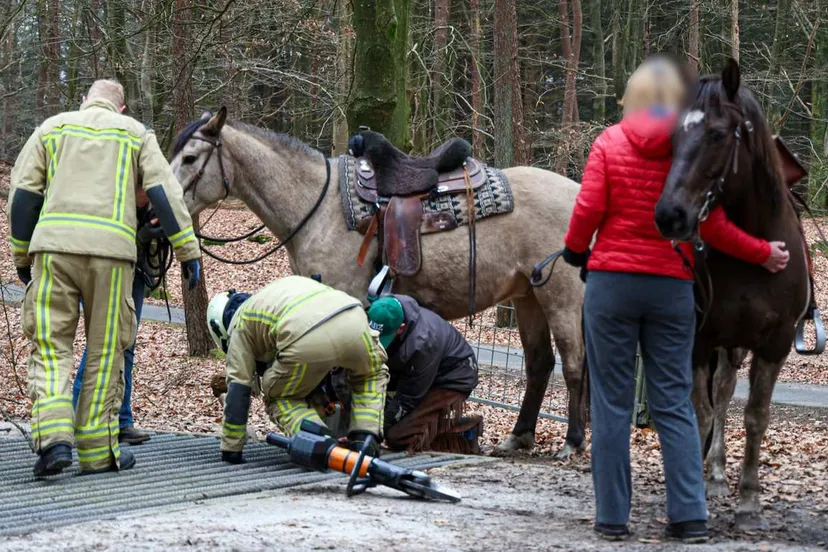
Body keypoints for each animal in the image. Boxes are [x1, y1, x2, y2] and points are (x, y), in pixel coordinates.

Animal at [167, 107, 588, 460]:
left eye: (190, 158)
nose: (161, 208)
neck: (317, 205)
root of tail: (575, 192)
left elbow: (343, 375)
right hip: (528, 296)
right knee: (539, 364)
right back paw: (519, 437)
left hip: (561, 297)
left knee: (573, 365)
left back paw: (572, 442)